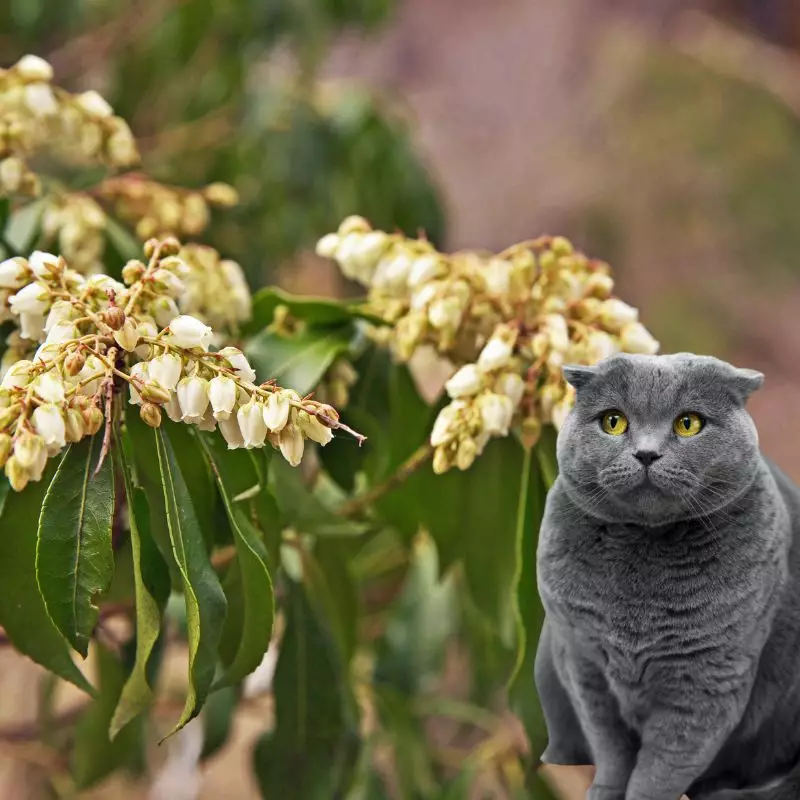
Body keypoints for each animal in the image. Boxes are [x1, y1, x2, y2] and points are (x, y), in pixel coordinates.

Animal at [536, 354, 800, 800]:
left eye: (688, 423)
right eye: (613, 422)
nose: (647, 453)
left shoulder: (707, 681)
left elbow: (661, 768)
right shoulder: (583, 664)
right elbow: (610, 748)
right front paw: (604, 791)